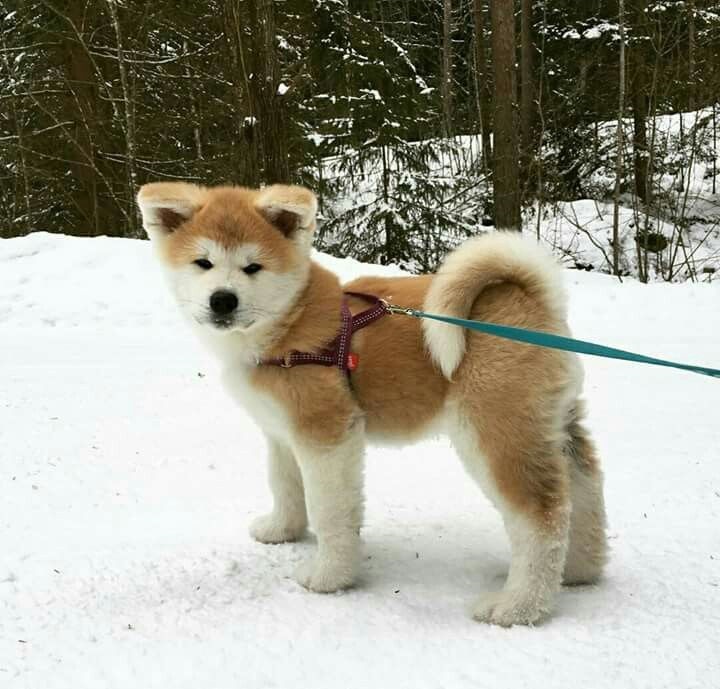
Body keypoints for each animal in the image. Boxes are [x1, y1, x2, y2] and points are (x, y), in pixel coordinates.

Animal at [136, 181, 608, 624]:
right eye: (203, 263)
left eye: (253, 267)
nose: (223, 300)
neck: (288, 324)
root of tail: (530, 299)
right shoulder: (282, 433)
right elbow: (285, 485)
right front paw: (282, 529)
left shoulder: (327, 435)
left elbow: (330, 510)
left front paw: (329, 576)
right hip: (551, 425)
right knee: (581, 492)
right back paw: (578, 571)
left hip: (495, 430)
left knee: (542, 515)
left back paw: (519, 607)